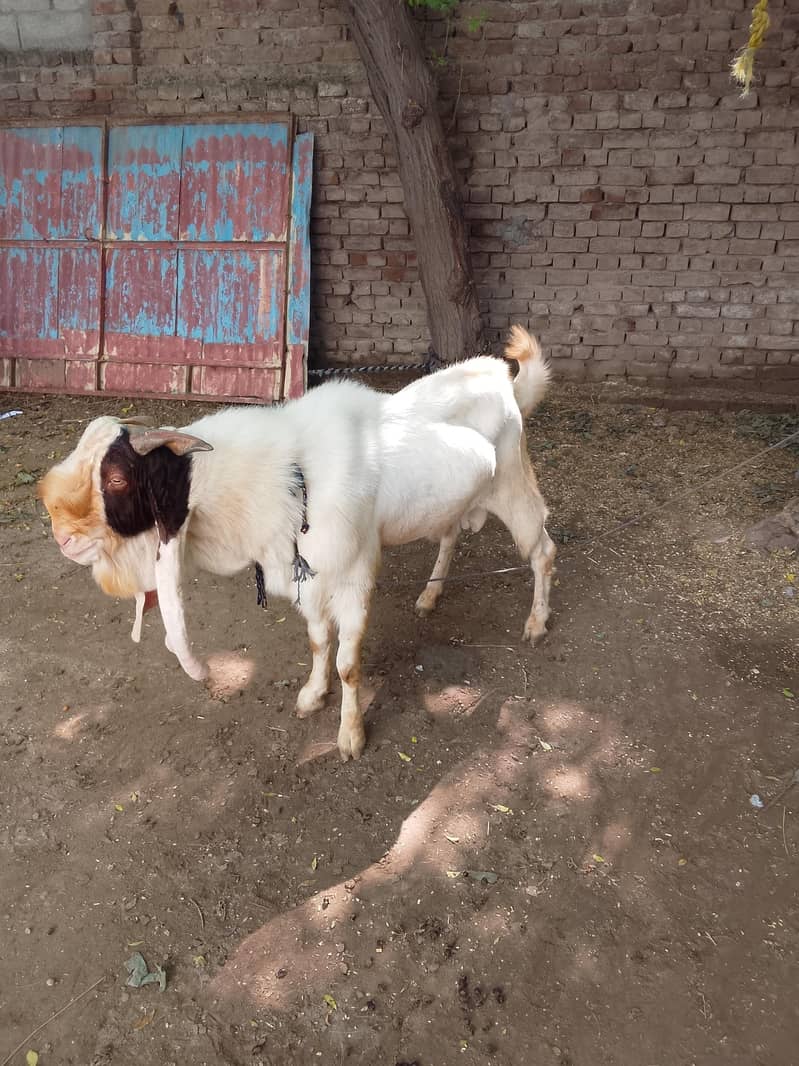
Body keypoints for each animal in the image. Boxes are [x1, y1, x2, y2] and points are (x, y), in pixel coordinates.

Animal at [39, 326, 556, 761]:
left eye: (118, 478)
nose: (64, 539)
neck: (292, 473)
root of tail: (505, 382)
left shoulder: (352, 576)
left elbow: (348, 663)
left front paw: (350, 737)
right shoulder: (307, 574)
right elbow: (317, 640)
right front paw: (311, 695)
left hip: (513, 485)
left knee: (542, 550)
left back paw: (535, 623)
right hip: (455, 502)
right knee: (450, 536)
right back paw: (430, 597)